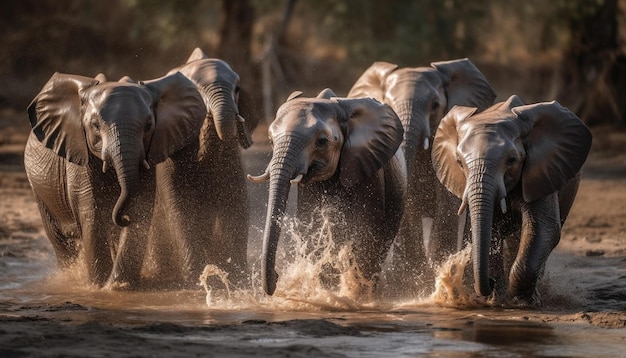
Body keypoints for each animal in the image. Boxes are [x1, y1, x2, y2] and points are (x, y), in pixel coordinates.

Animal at [23, 71, 205, 286]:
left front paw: (118, 286)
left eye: (149, 126)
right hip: (39, 189)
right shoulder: (79, 158)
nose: (122, 218)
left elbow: (140, 207)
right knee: (61, 243)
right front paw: (100, 286)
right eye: (95, 126)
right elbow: (91, 214)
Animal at [150, 48, 258, 286]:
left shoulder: (231, 158)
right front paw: (195, 278)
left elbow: (237, 202)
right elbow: (180, 207)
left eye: (237, 89)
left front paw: (238, 276)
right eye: (197, 91)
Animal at [246, 88, 402, 296]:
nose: (277, 277)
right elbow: (312, 227)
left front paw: (354, 294)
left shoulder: (369, 170)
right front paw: (329, 290)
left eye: (321, 142)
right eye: (271, 141)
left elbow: (365, 231)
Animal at [348, 58, 494, 294]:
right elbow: (411, 207)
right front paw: (413, 278)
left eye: (434, 105)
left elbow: (447, 205)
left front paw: (435, 275)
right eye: (388, 103)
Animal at [428, 94, 588, 304]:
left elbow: (544, 228)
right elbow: (489, 229)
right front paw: (495, 298)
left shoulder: (540, 173)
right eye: (460, 163)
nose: (490, 282)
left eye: (511, 161)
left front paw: (520, 302)